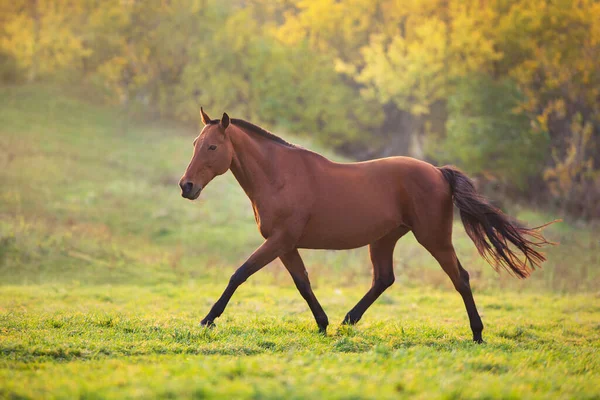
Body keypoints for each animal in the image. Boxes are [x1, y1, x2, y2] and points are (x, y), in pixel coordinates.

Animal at [178, 108, 552, 342]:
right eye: (195, 144)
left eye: (212, 146)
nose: (186, 186)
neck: (278, 176)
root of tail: (438, 171)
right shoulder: (285, 244)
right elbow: (303, 283)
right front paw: (323, 324)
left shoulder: (279, 240)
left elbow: (239, 274)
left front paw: (207, 320)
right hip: (384, 240)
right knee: (384, 278)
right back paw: (348, 320)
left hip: (433, 238)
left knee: (459, 277)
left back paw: (477, 334)